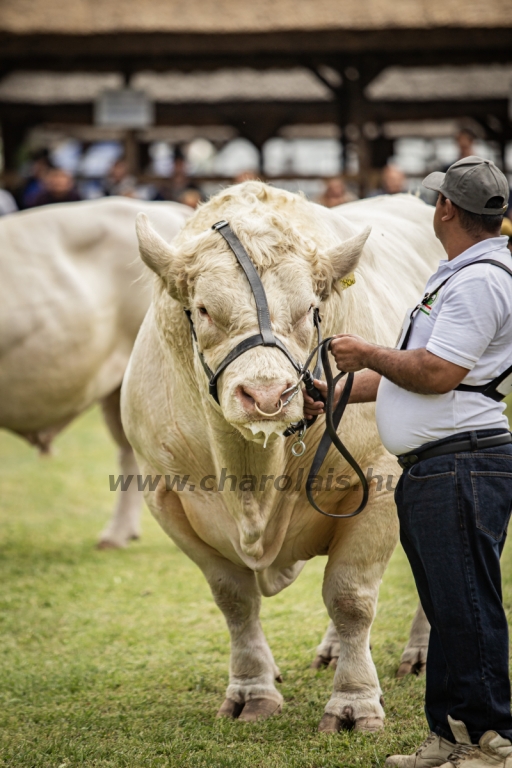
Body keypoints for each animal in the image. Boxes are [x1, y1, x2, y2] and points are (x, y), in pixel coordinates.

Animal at [122, 183, 442, 736]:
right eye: (202, 310)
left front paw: (354, 702)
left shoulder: (379, 478)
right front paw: (252, 689)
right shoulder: (164, 493)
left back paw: (419, 653)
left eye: (311, 309)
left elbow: (350, 595)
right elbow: (234, 598)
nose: (268, 396)